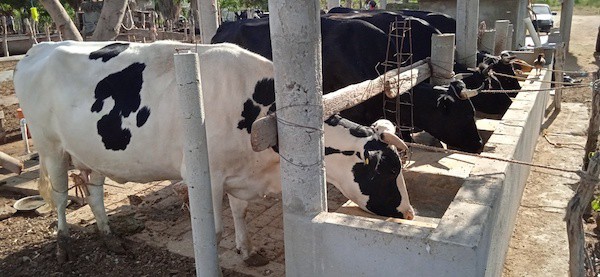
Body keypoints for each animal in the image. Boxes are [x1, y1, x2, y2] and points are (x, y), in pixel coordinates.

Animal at [12, 40, 412, 266]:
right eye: (388, 171)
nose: (409, 213)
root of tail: (38, 48)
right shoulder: (205, 174)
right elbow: (214, 231)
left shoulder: (239, 173)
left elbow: (240, 212)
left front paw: (247, 251)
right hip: (50, 147)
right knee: (60, 197)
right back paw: (63, 248)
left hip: (94, 151)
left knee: (94, 193)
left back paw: (110, 238)